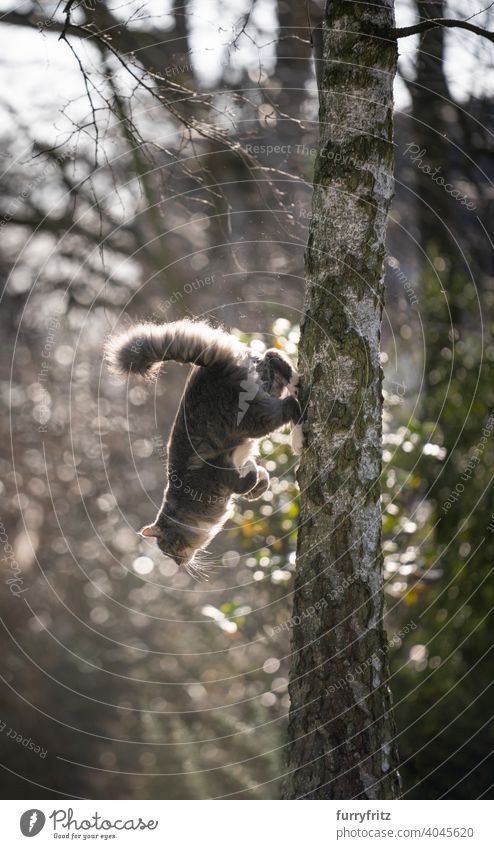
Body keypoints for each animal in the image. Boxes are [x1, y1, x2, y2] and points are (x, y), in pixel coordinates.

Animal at [106, 318, 302, 576]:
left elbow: (245, 481)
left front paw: (251, 474)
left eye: (168, 548)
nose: (178, 563)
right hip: (266, 389)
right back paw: (297, 381)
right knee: (275, 358)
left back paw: (299, 435)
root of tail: (213, 366)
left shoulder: (219, 466)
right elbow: (259, 481)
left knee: (290, 403)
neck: (186, 499)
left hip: (256, 419)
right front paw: (258, 480)